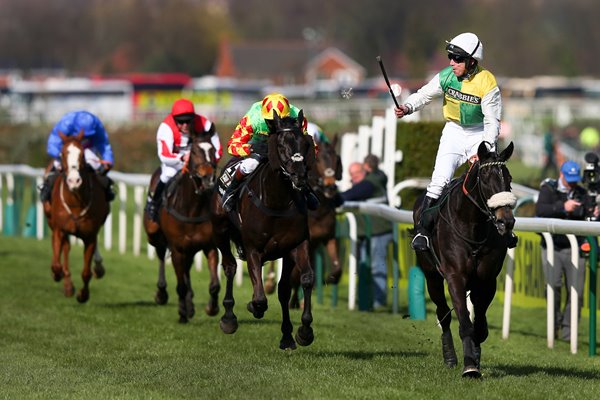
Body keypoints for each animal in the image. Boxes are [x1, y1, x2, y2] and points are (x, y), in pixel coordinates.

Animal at [44, 130, 111, 302]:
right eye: (62, 153)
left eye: (81, 154)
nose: (74, 180)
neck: (75, 201)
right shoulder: (59, 230)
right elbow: (56, 263)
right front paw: (57, 274)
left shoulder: (90, 236)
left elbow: (86, 272)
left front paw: (83, 295)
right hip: (51, 221)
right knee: (64, 248)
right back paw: (66, 283)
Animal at [144, 130, 220, 324]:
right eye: (193, 152)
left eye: (213, 150)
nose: (208, 177)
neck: (192, 209)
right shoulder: (177, 249)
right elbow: (180, 286)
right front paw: (182, 313)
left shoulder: (209, 246)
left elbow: (214, 284)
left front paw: (211, 308)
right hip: (155, 235)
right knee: (161, 255)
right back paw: (162, 293)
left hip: (190, 249)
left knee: (187, 269)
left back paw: (190, 304)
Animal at [211, 111, 316, 348]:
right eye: (281, 144)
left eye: (305, 143)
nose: (300, 176)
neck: (276, 203)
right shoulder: (253, 249)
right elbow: (259, 297)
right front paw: (253, 307)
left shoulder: (297, 244)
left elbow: (305, 279)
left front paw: (304, 331)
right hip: (220, 232)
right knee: (229, 267)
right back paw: (228, 318)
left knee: (283, 289)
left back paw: (287, 336)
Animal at [414, 141, 516, 378]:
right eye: (485, 179)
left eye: (509, 179)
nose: (506, 221)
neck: (472, 227)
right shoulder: (454, 276)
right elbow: (464, 320)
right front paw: (469, 365)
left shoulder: (486, 280)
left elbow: (480, 325)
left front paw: (476, 357)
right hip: (431, 275)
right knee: (443, 314)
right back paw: (450, 356)